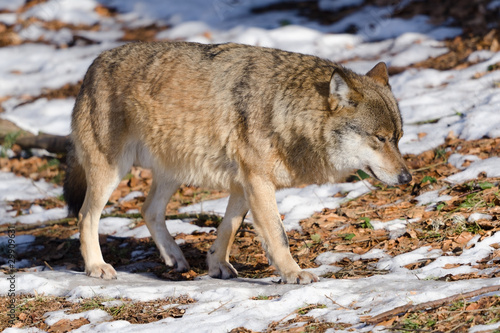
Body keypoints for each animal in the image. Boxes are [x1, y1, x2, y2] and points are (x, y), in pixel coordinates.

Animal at [62, 40, 412, 282]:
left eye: (398, 137)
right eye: (380, 138)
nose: (407, 179)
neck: (286, 111)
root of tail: (92, 65)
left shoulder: (243, 183)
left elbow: (228, 227)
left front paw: (218, 265)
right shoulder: (257, 181)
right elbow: (279, 237)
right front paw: (293, 274)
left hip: (174, 172)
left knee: (147, 210)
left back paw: (175, 258)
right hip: (111, 172)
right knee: (85, 216)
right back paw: (96, 266)